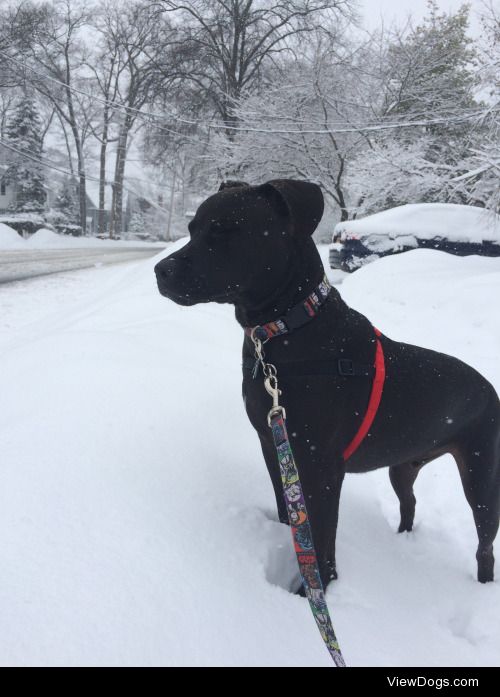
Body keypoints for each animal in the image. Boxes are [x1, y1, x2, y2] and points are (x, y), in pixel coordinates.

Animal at [153, 178, 500, 588]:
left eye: (225, 230)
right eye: (192, 228)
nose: (160, 269)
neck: (285, 331)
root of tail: (491, 389)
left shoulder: (320, 465)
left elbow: (319, 539)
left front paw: (316, 585)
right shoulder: (274, 446)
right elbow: (290, 514)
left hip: (481, 473)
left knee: (485, 545)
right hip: (403, 465)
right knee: (409, 503)